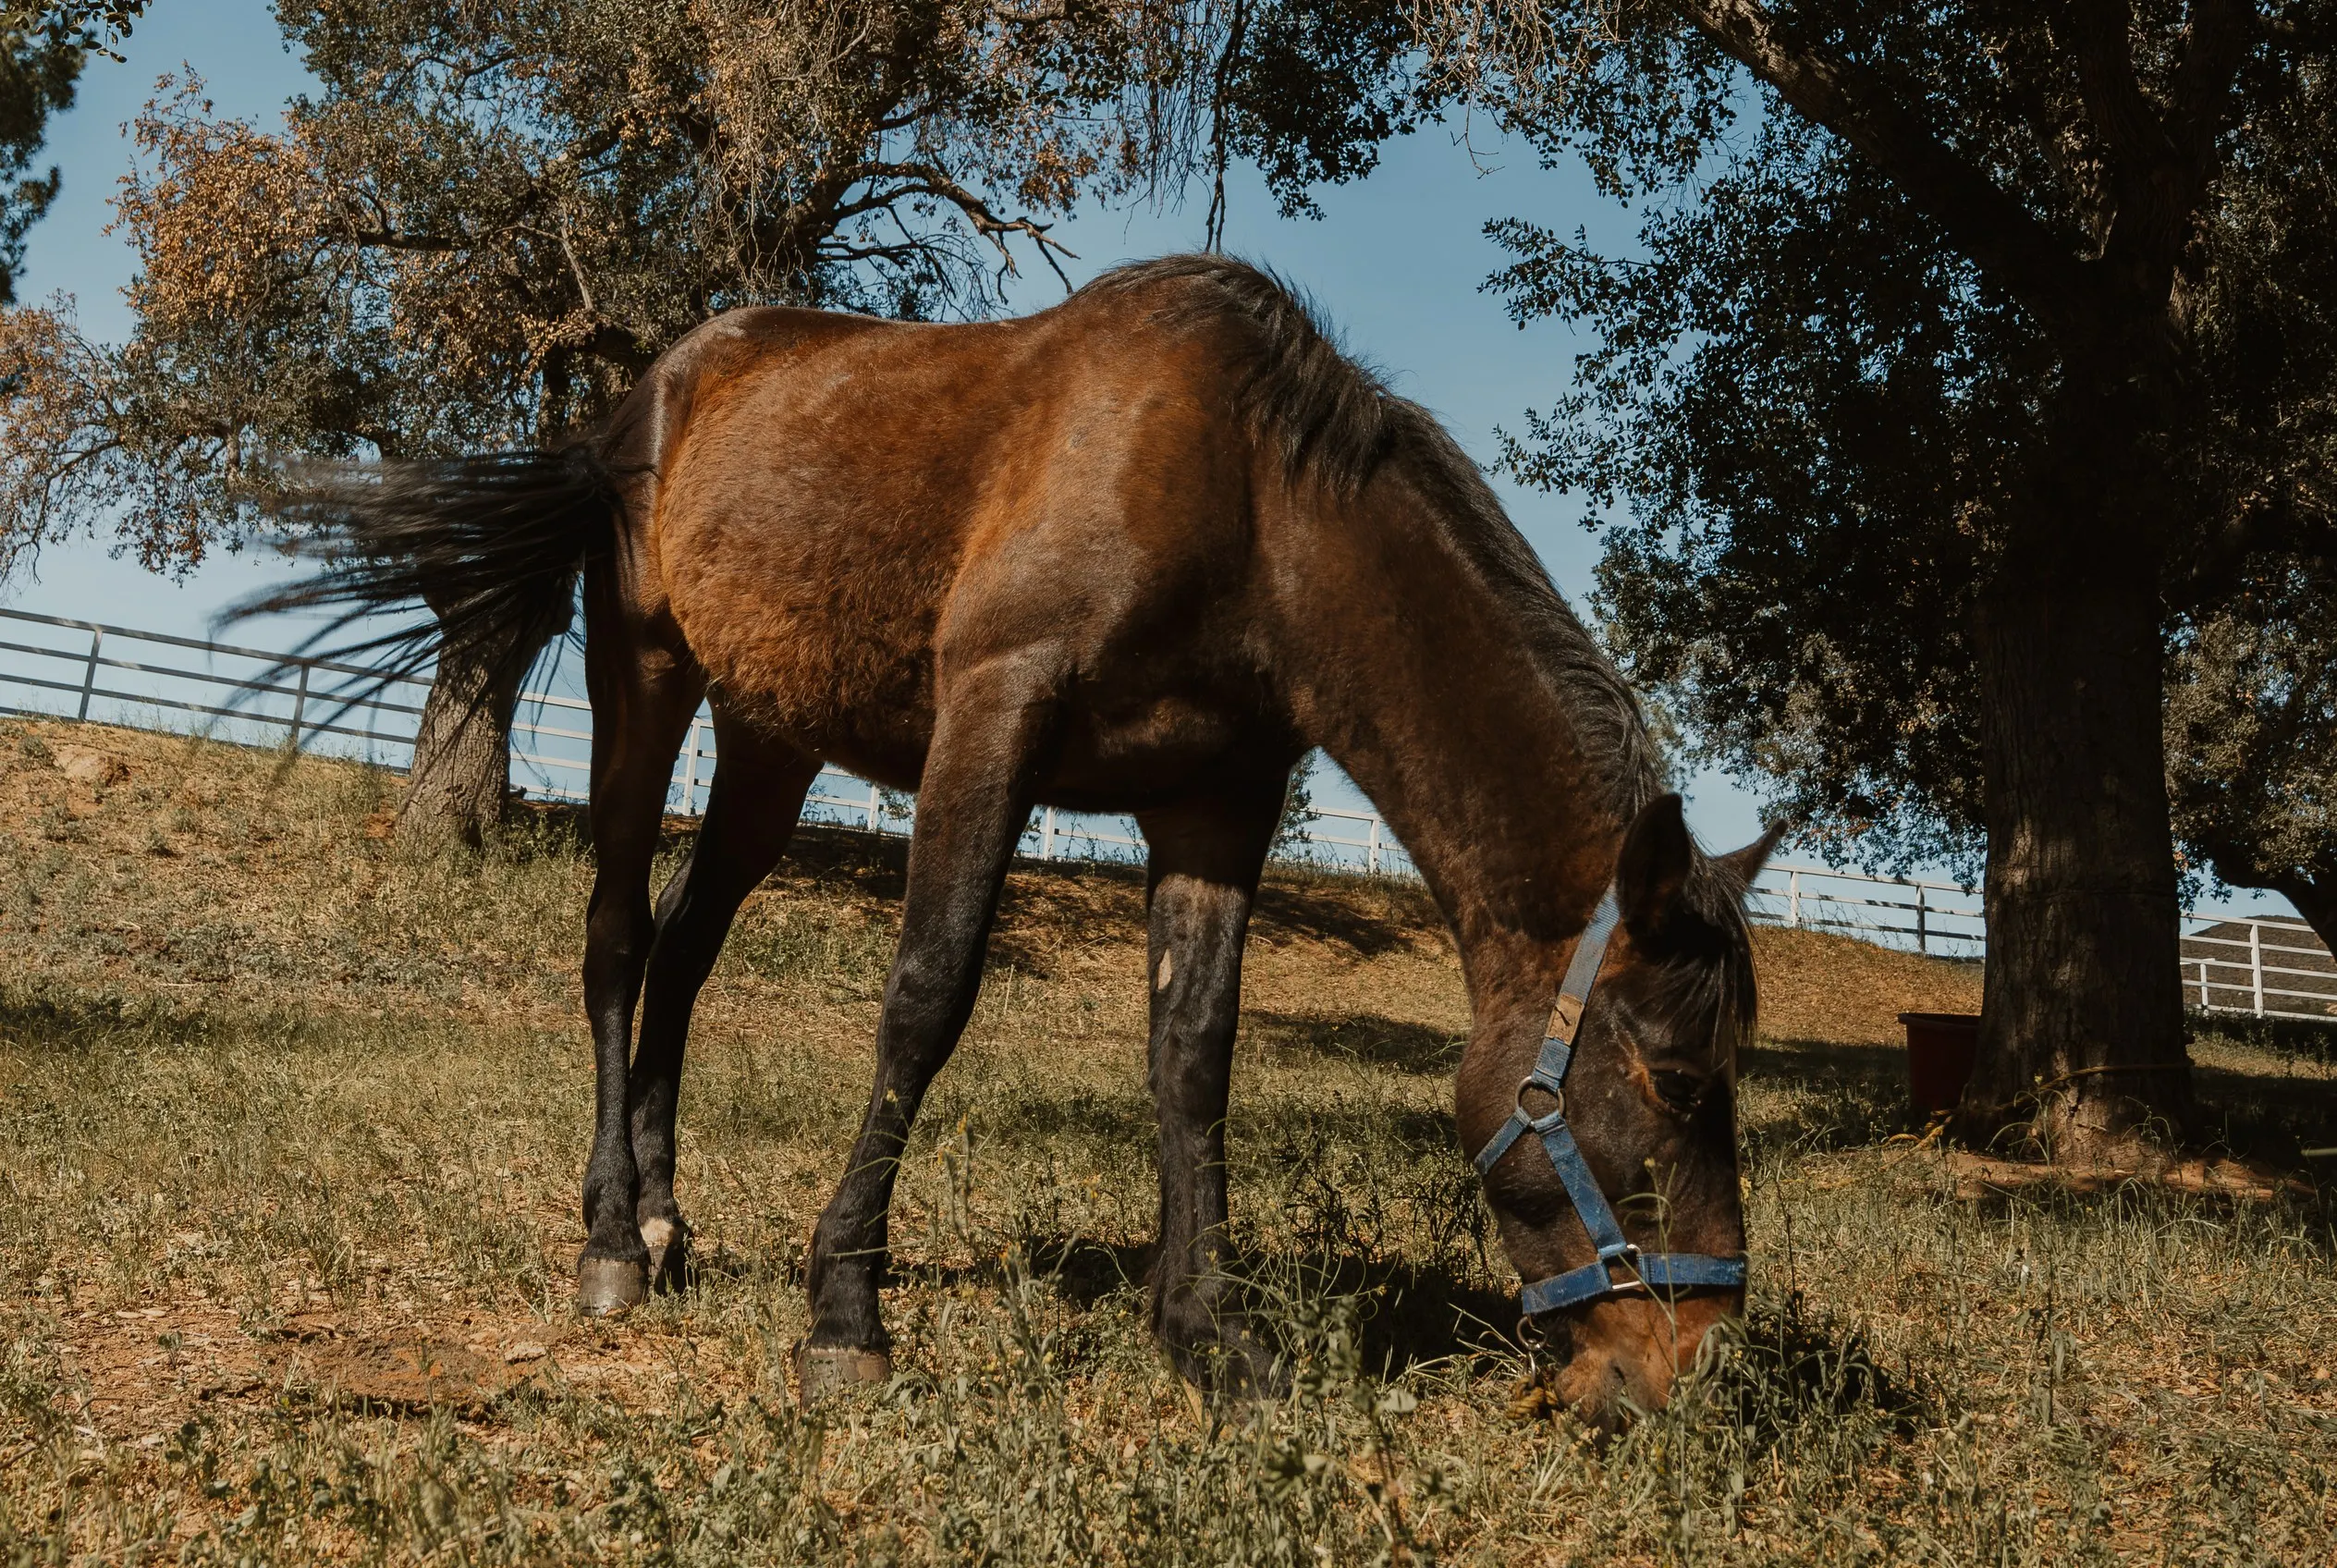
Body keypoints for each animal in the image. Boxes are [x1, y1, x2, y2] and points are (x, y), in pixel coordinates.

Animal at [248, 255, 1778, 1424]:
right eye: (1675, 1078)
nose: (1688, 1366)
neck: (1250, 500)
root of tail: (654, 389)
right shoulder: (993, 716)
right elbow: (927, 998)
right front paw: (845, 1314)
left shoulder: (1216, 805)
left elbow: (1194, 1056)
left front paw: (1208, 1333)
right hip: (646, 677)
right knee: (620, 941)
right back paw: (616, 1239)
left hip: (771, 741)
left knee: (684, 953)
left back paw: (670, 1224)